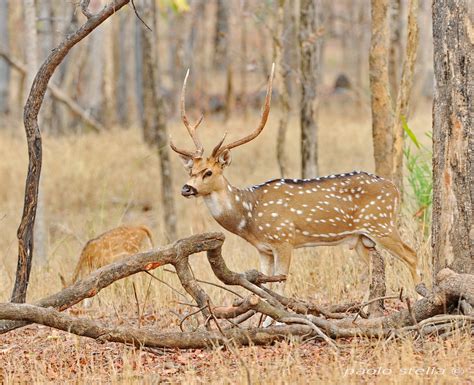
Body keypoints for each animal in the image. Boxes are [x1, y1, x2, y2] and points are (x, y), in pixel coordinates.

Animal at [168, 63, 420, 306]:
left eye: (208, 172)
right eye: (191, 170)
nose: (186, 188)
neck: (249, 215)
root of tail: (395, 190)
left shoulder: (283, 239)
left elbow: (280, 285)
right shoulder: (264, 250)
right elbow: (264, 288)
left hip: (381, 224)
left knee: (411, 254)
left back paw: (419, 298)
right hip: (360, 238)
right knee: (374, 268)